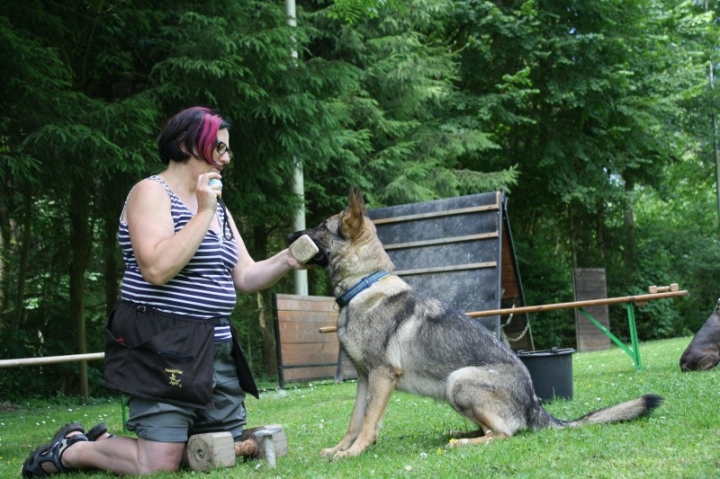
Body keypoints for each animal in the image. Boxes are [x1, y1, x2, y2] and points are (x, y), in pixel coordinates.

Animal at [286, 188, 664, 462]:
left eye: (321, 227)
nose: (291, 234)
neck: (364, 284)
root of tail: (534, 404)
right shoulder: (366, 379)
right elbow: (354, 420)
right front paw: (341, 448)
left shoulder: (381, 376)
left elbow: (366, 423)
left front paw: (354, 452)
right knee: (492, 431)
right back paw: (460, 435)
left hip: (459, 381)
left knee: (504, 435)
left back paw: (464, 443)